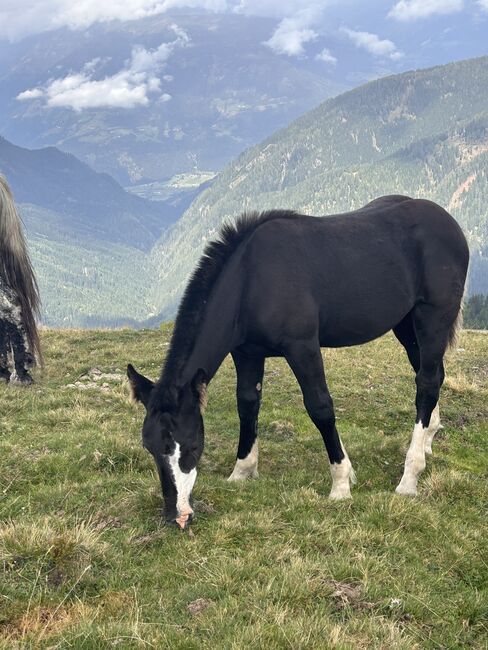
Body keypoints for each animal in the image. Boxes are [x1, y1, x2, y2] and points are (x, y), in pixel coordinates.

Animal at [129, 195, 468, 528]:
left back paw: (410, 476)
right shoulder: (247, 352)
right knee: (431, 375)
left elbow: (320, 407)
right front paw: (242, 470)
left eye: (193, 445)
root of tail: (448, 223)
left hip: (432, 319)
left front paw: (341, 484)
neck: (251, 280)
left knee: (426, 382)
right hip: (407, 326)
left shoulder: (302, 347)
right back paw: (428, 439)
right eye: (150, 447)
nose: (178, 516)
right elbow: (247, 403)